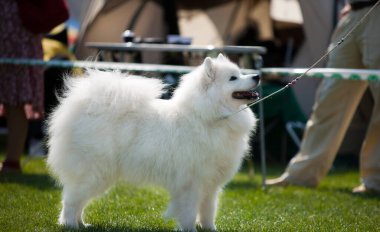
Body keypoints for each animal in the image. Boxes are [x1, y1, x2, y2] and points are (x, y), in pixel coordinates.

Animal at [46, 54, 260, 230]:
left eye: (240, 73)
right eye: (233, 78)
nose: (257, 76)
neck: (209, 117)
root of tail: (83, 106)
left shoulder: (211, 184)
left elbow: (208, 212)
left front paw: (210, 229)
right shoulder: (191, 182)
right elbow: (189, 213)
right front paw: (189, 229)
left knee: (78, 201)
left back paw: (82, 224)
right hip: (94, 173)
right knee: (71, 201)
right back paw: (70, 225)